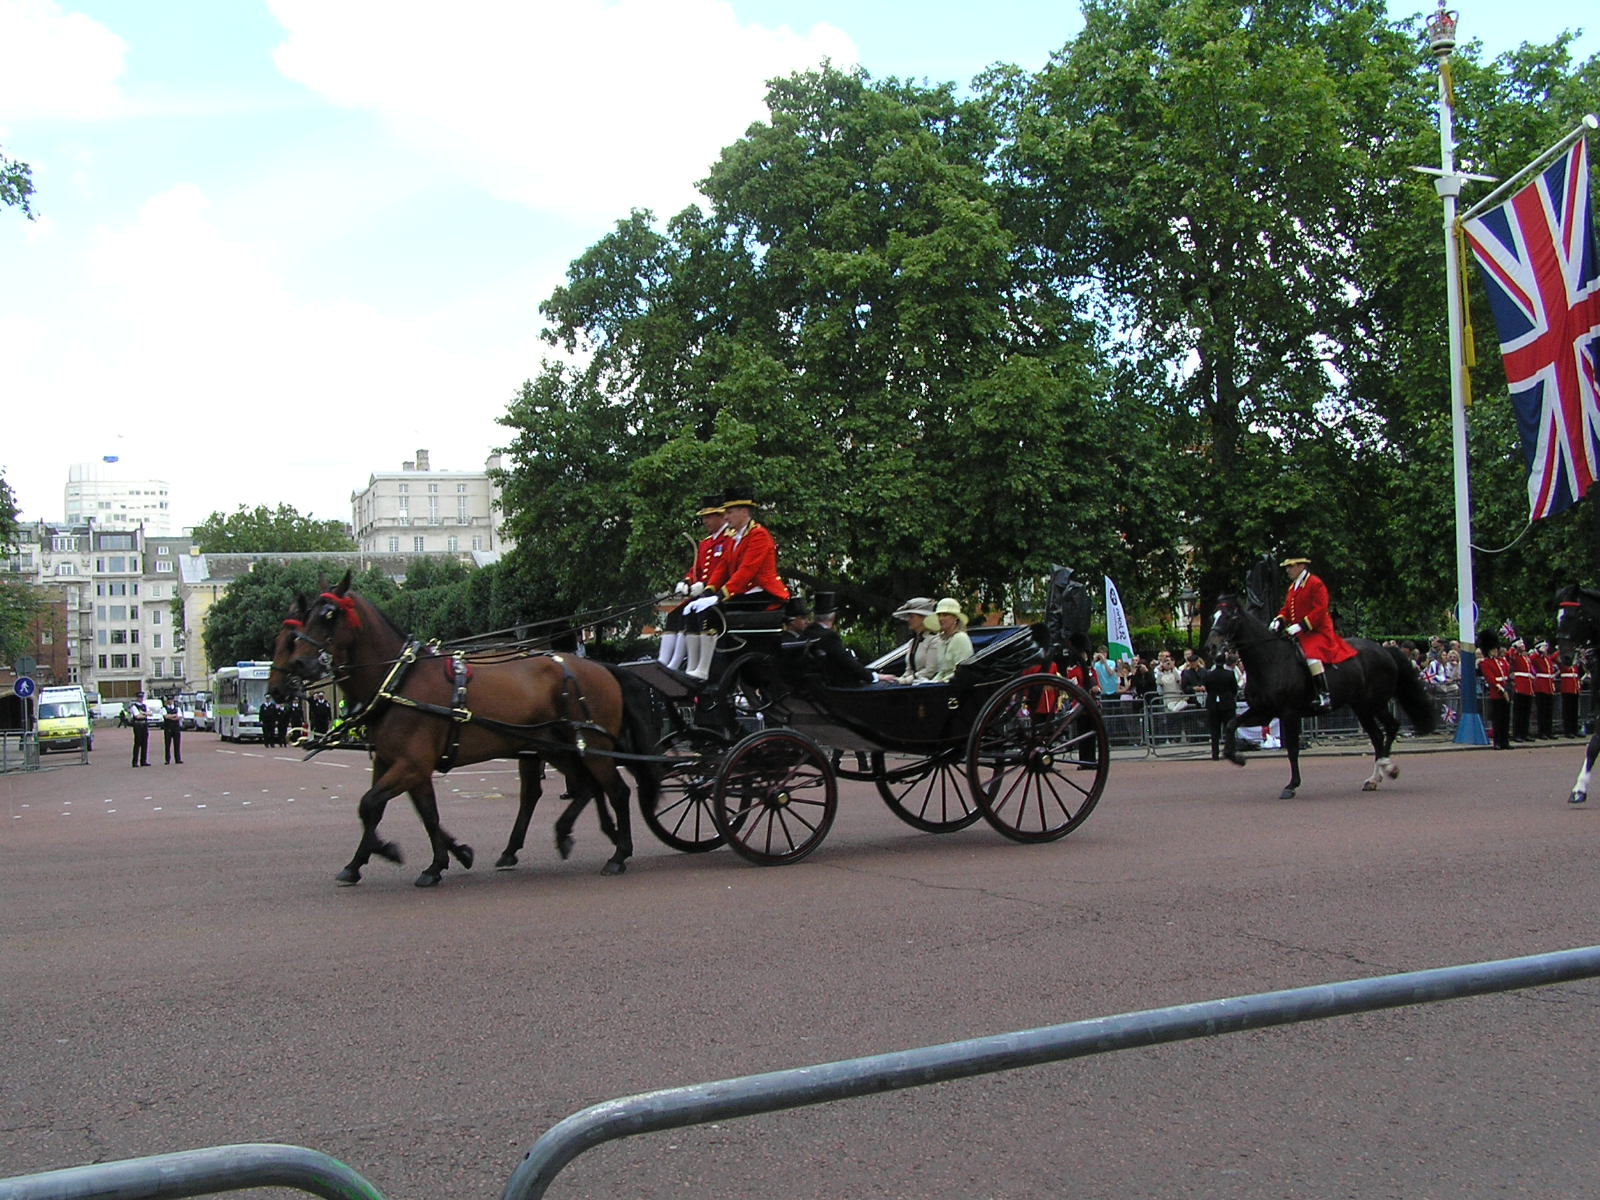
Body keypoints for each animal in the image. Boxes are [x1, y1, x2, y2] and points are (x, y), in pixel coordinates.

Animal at [268, 579, 656, 889]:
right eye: (292, 634)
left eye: (329, 615)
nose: (290, 675)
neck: (399, 681)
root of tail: (600, 667)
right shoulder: (397, 762)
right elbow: (417, 813)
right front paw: (438, 859)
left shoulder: (411, 763)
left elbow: (372, 804)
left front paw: (390, 851)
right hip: (556, 747)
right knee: (582, 787)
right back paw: (561, 836)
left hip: (591, 746)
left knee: (616, 791)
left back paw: (618, 853)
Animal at [1203, 595, 1440, 800]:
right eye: (1214, 615)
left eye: (1229, 617)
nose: (1211, 647)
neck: (1269, 660)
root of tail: (1384, 650)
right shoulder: (1262, 712)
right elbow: (1232, 723)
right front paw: (1236, 757)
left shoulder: (1289, 713)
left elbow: (1292, 749)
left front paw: (1291, 785)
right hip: (1361, 707)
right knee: (1377, 735)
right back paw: (1374, 778)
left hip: (1375, 703)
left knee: (1390, 727)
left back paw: (1387, 767)